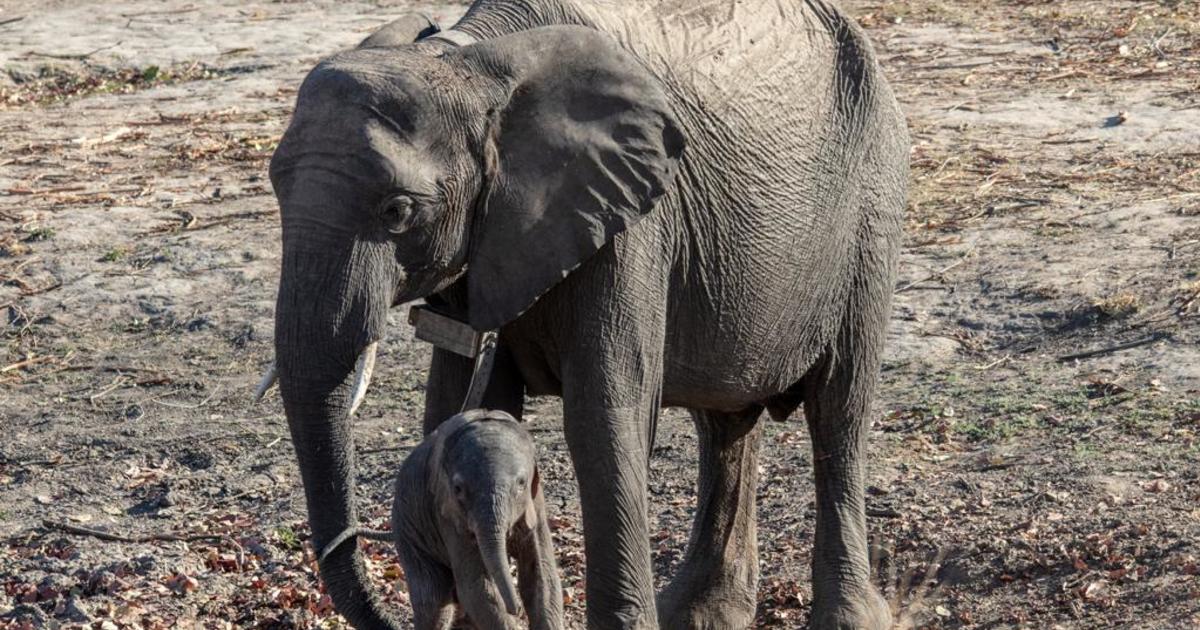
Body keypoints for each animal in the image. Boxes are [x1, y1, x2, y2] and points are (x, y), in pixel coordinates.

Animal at [390, 409, 561, 630]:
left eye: (521, 483)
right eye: (458, 489)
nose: (516, 610)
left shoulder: (535, 503)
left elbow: (542, 575)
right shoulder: (447, 515)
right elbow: (476, 589)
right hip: (407, 531)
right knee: (434, 601)